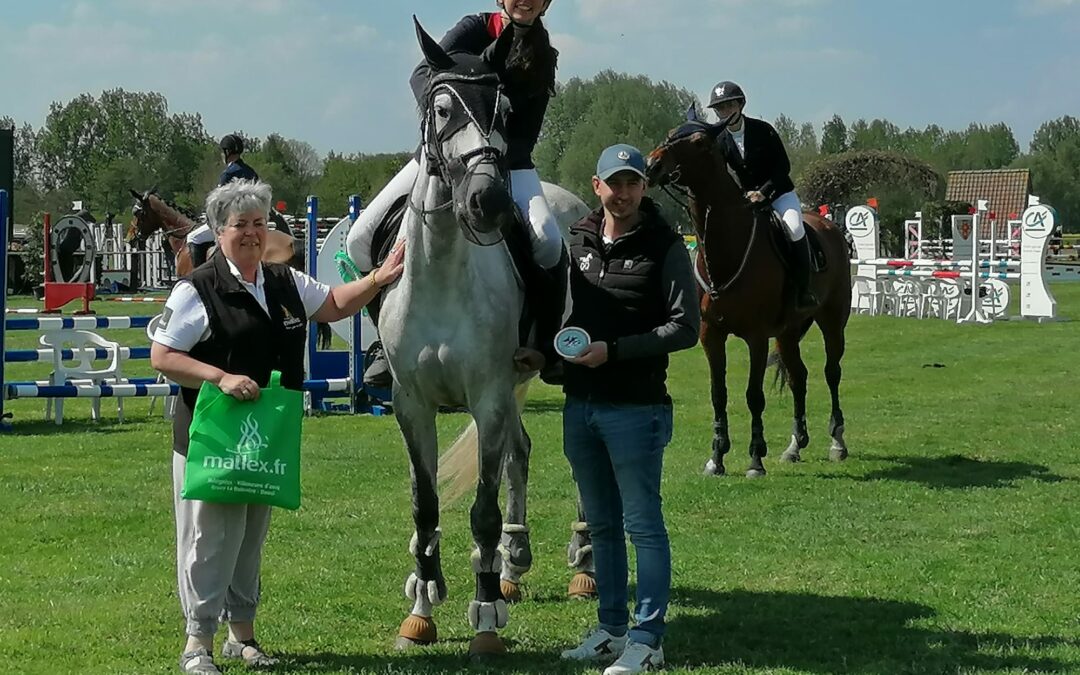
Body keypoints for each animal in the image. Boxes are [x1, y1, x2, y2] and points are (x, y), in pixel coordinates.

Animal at [373, 18, 591, 656]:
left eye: (507, 110)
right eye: (442, 109)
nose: (487, 202)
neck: (444, 270)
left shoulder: (489, 398)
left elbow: (484, 511)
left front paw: (486, 616)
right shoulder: (411, 404)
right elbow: (425, 505)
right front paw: (422, 604)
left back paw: (579, 560)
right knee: (521, 453)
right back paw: (513, 563)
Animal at [648, 108, 851, 477]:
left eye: (698, 142)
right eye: (671, 133)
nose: (652, 164)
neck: (728, 247)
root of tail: (830, 225)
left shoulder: (756, 337)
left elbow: (754, 395)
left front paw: (755, 458)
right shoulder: (710, 335)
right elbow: (719, 394)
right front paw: (716, 457)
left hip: (831, 321)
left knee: (832, 373)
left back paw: (837, 441)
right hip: (788, 331)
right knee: (799, 376)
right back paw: (794, 445)